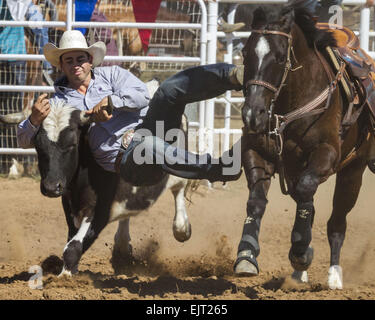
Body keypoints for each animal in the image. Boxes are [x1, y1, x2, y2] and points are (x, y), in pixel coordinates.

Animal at [234, 4, 375, 290]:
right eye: (245, 53)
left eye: (279, 57)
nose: (252, 114)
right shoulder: (256, 153)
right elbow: (256, 202)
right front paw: (246, 256)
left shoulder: (327, 153)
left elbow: (309, 189)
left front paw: (300, 251)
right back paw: (300, 274)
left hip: (353, 171)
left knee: (336, 223)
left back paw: (333, 276)